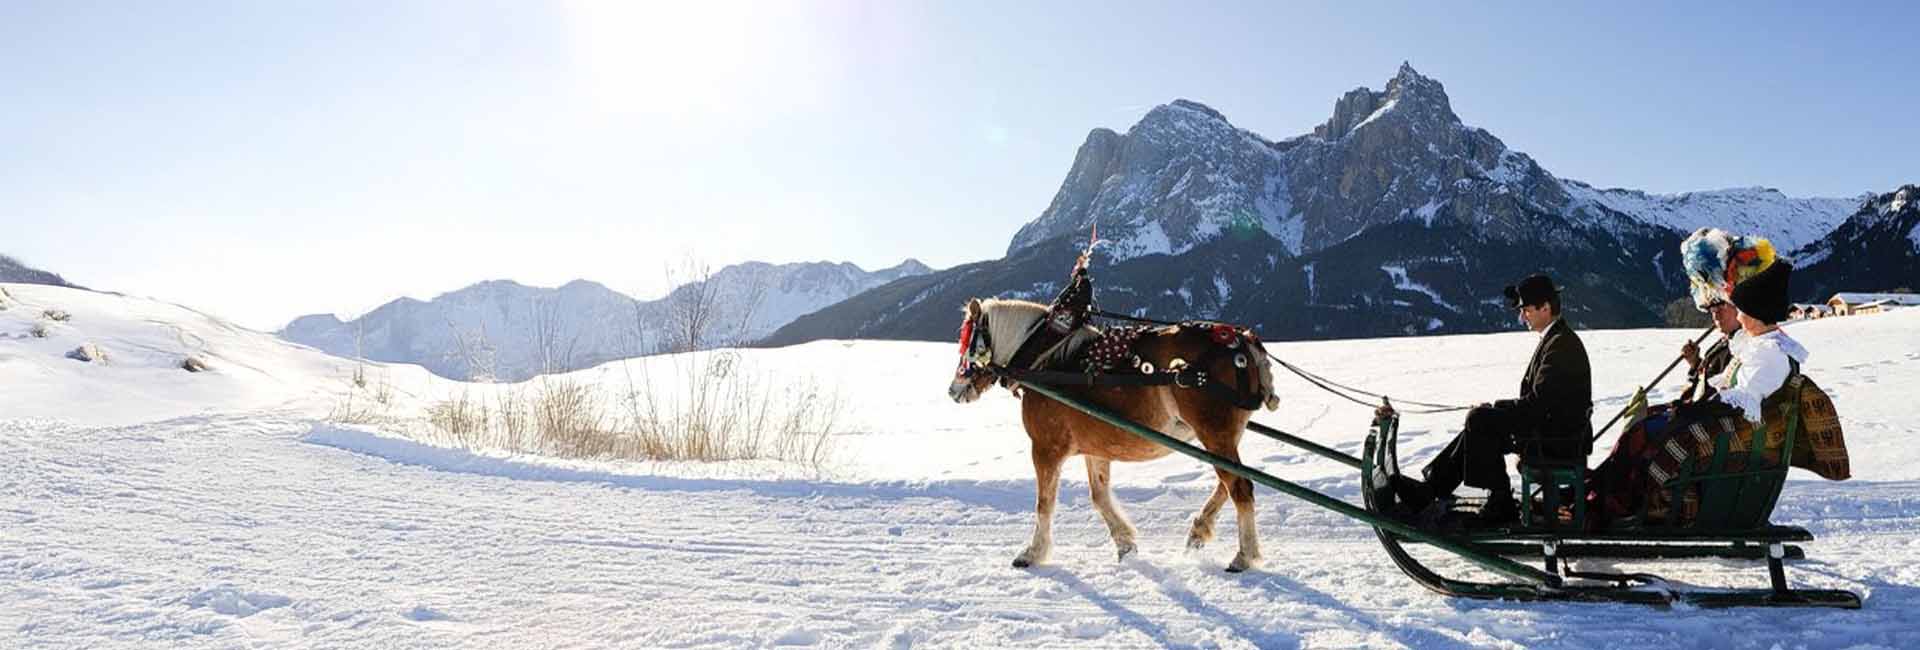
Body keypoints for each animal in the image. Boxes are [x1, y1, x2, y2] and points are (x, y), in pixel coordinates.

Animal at [940, 297, 1274, 571]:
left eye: (967, 343)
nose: (954, 391)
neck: (1044, 359)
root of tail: (1244, 342)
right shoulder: (1096, 448)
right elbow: (1098, 495)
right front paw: (1125, 544)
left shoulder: (1045, 448)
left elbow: (1044, 502)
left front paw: (1033, 553)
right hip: (1223, 436)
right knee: (1229, 483)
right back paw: (1199, 532)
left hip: (1214, 433)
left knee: (1240, 486)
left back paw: (1244, 555)